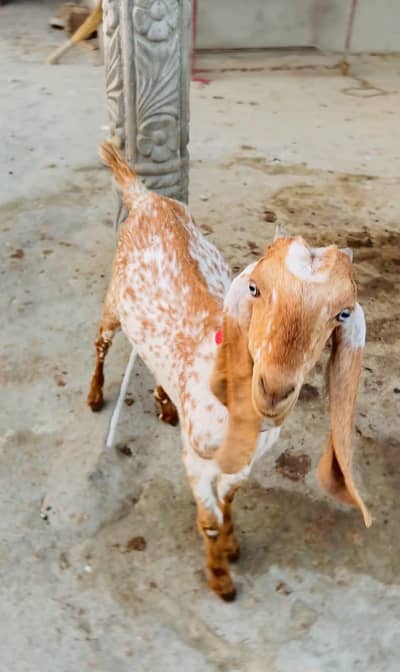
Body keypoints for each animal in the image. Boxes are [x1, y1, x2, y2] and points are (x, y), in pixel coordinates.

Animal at [88, 142, 371, 601]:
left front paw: (233, 546)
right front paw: (220, 578)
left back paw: (165, 404)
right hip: (113, 302)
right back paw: (95, 396)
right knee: (101, 344)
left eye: (343, 312)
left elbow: (230, 501)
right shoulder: (196, 461)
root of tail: (145, 197)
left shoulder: (245, 463)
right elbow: (209, 519)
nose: (273, 390)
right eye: (254, 286)